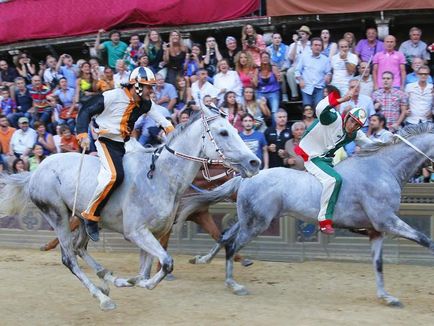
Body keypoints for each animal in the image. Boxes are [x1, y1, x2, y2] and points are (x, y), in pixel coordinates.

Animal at [0, 107, 262, 310]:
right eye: (223, 132)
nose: (255, 162)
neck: (161, 177)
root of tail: (36, 171)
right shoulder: (137, 232)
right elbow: (164, 264)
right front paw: (131, 282)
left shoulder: (154, 232)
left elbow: (147, 271)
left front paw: (126, 281)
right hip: (58, 216)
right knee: (69, 258)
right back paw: (103, 298)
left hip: (85, 220)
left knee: (79, 247)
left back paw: (105, 278)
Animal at [178, 123, 432, 306]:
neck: (383, 169)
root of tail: (247, 176)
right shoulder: (387, 222)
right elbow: (426, 240)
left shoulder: (376, 230)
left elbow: (378, 264)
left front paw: (386, 297)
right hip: (257, 224)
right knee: (232, 245)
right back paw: (233, 284)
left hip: (249, 220)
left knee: (225, 236)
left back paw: (203, 259)